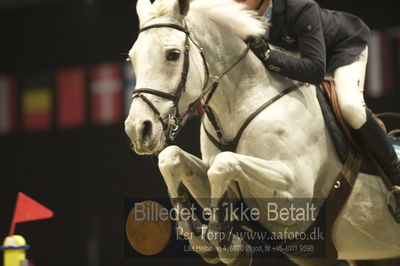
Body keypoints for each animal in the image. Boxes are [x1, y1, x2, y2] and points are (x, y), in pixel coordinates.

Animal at [124, 0, 400, 264]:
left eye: (173, 54)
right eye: (132, 58)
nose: (138, 129)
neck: (242, 102)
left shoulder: (295, 194)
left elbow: (224, 164)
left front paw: (226, 242)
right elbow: (170, 158)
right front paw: (201, 239)